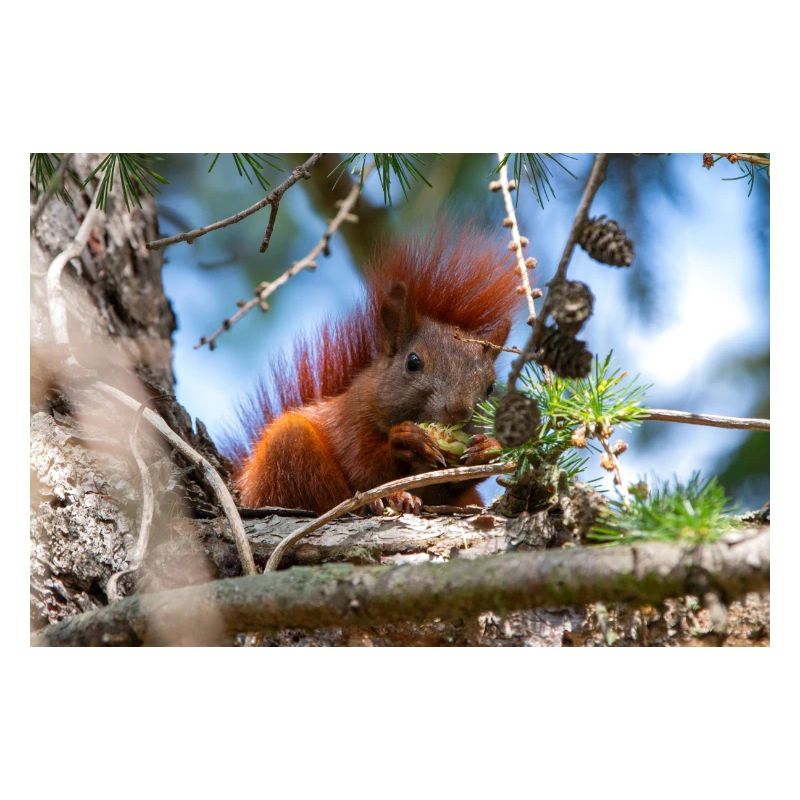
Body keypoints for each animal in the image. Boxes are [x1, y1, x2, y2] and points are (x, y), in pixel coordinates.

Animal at [232, 227, 521, 514]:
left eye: (490, 387)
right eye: (413, 363)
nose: (458, 411)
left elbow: (450, 486)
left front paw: (488, 449)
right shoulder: (350, 422)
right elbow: (365, 468)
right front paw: (405, 440)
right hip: (288, 452)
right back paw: (388, 500)